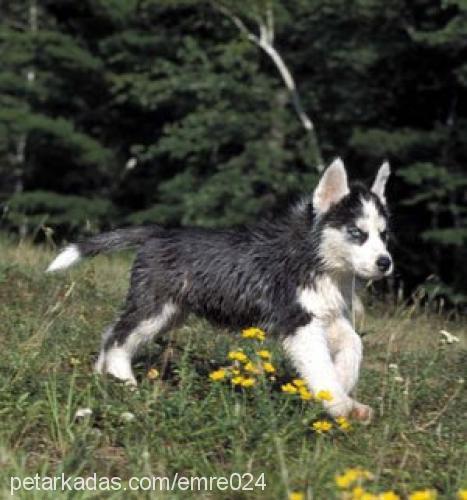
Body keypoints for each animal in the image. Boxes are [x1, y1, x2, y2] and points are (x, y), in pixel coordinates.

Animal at [46, 158, 392, 420]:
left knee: (112, 331)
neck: (318, 259)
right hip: (154, 308)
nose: (385, 263)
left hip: (168, 313)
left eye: (384, 234)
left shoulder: (328, 315)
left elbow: (354, 345)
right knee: (118, 337)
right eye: (357, 232)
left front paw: (344, 385)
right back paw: (124, 380)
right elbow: (320, 366)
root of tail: (159, 233)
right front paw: (340, 404)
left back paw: (102, 376)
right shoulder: (299, 322)